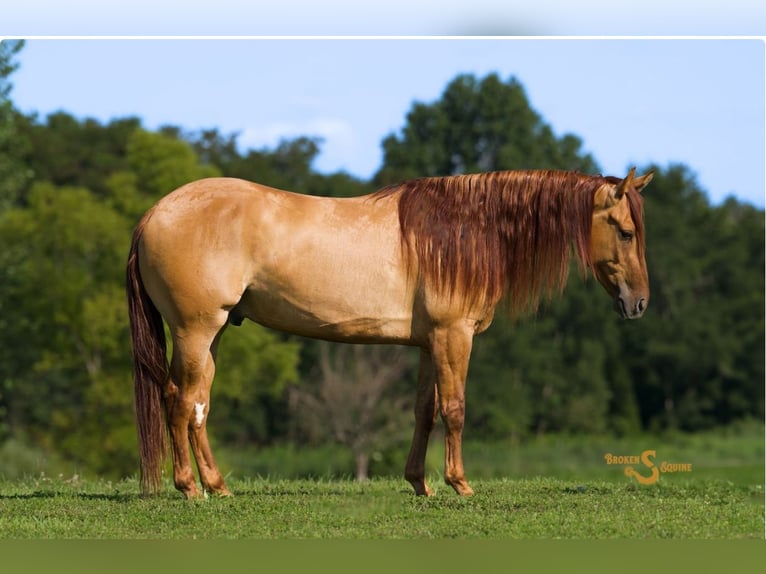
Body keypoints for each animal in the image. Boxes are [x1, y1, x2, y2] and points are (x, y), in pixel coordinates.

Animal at [126, 167, 653, 498]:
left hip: (211, 334)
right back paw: (190, 489)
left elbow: (425, 412)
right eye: (626, 232)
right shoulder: (453, 336)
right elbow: (455, 409)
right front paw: (460, 484)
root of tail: (153, 214)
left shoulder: (428, 343)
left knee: (197, 404)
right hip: (196, 330)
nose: (639, 303)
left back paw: (217, 486)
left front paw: (420, 483)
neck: (463, 232)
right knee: (181, 402)